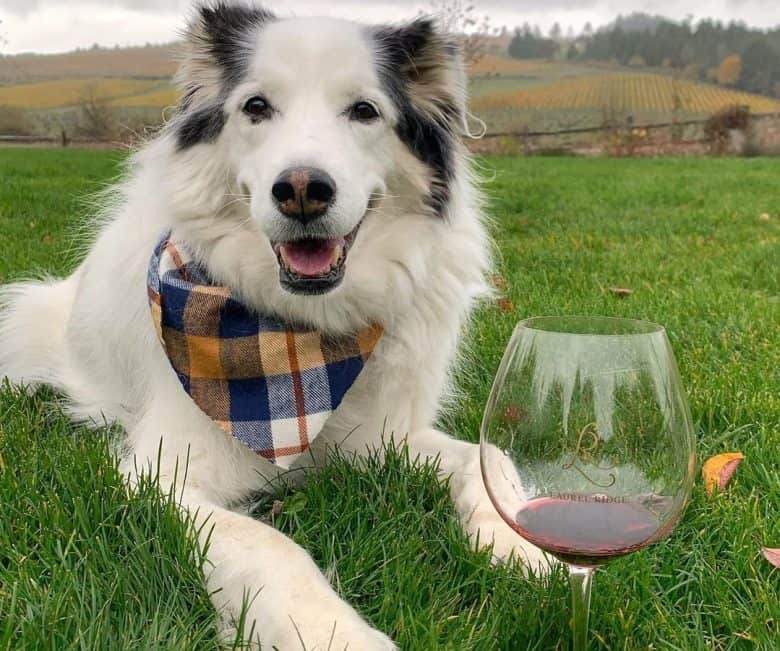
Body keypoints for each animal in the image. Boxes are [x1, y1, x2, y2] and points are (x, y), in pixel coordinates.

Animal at [0, 2, 548, 648]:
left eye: (364, 111)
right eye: (256, 107)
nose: (303, 190)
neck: (300, 340)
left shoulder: (382, 436)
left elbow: (488, 460)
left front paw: (524, 543)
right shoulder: (164, 473)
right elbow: (268, 543)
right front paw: (330, 630)